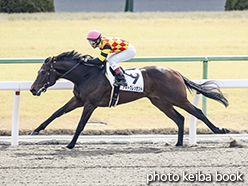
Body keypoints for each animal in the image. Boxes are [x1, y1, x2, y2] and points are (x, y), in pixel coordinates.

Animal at [30, 50, 230, 148]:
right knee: (179, 118)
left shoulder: (90, 104)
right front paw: (36, 130)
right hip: (160, 101)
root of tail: (175, 72)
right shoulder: (78, 100)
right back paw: (179, 143)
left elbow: (80, 125)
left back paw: (219, 130)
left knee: (198, 112)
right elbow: (56, 113)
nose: (32, 89)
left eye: (43, 72)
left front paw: (71, 144)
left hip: (177, 98)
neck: (85, 75)